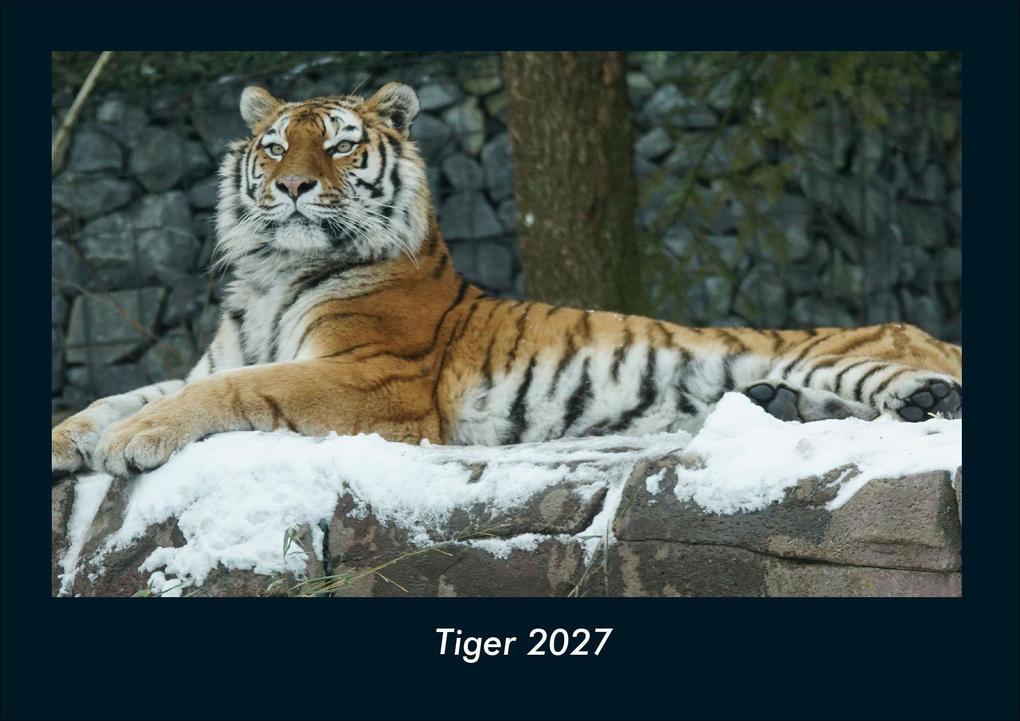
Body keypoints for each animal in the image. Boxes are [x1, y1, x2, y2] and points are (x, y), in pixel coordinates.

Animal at [51, 82, 963, 479]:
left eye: (340, 145)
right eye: (275, 147)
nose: (294, 186)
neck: (276, 272)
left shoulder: (372, 377)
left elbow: (232, 392)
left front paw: (131, 442)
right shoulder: (220, 355)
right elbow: (117, 394)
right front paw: (74, 437)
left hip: (849, 352)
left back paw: (919, 397)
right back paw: (784, 405)